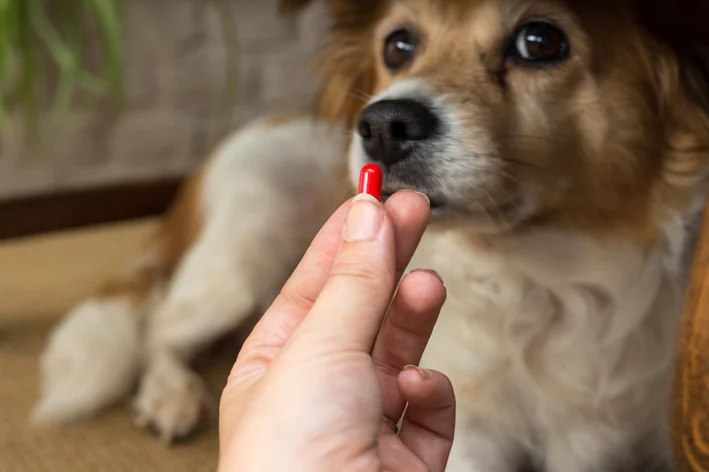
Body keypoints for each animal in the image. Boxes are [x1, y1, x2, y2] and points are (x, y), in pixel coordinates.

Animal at [31, 0, 708, 472]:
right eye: (398, 44)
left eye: (539, 41)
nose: (383, 123)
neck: (543, 275)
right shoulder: (475, 437)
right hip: (241, 261)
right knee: (160, 325)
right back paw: (170, 394)